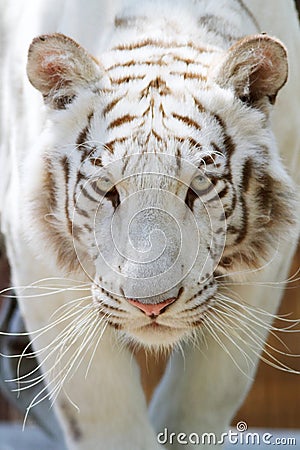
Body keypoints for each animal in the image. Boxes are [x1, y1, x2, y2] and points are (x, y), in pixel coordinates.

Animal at [0, 0, 298, 448]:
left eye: (199, 186)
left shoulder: (266, 265)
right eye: (107, 188)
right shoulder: (38, 263)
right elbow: (104, 410)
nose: (151, 305)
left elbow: (202, 398)